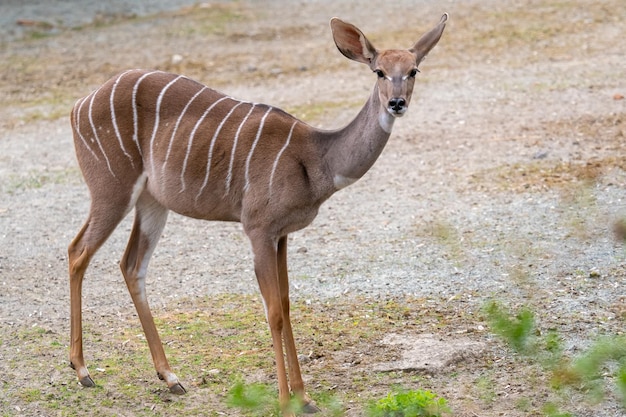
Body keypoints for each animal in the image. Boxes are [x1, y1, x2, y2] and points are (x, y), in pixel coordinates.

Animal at [68, 14, 446, 414]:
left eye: (413, 69)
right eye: (379, 71)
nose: (396, 103)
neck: (316, 158)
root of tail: (78, 105)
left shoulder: (283, 233)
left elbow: (287, 304)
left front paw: (305, 397)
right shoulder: (258, 228)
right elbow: (273, 311)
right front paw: (284, 400)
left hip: (152, 202)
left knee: (131, 264)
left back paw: (171, 377)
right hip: (111, 188)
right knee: (78, 251)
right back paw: (83, 371)